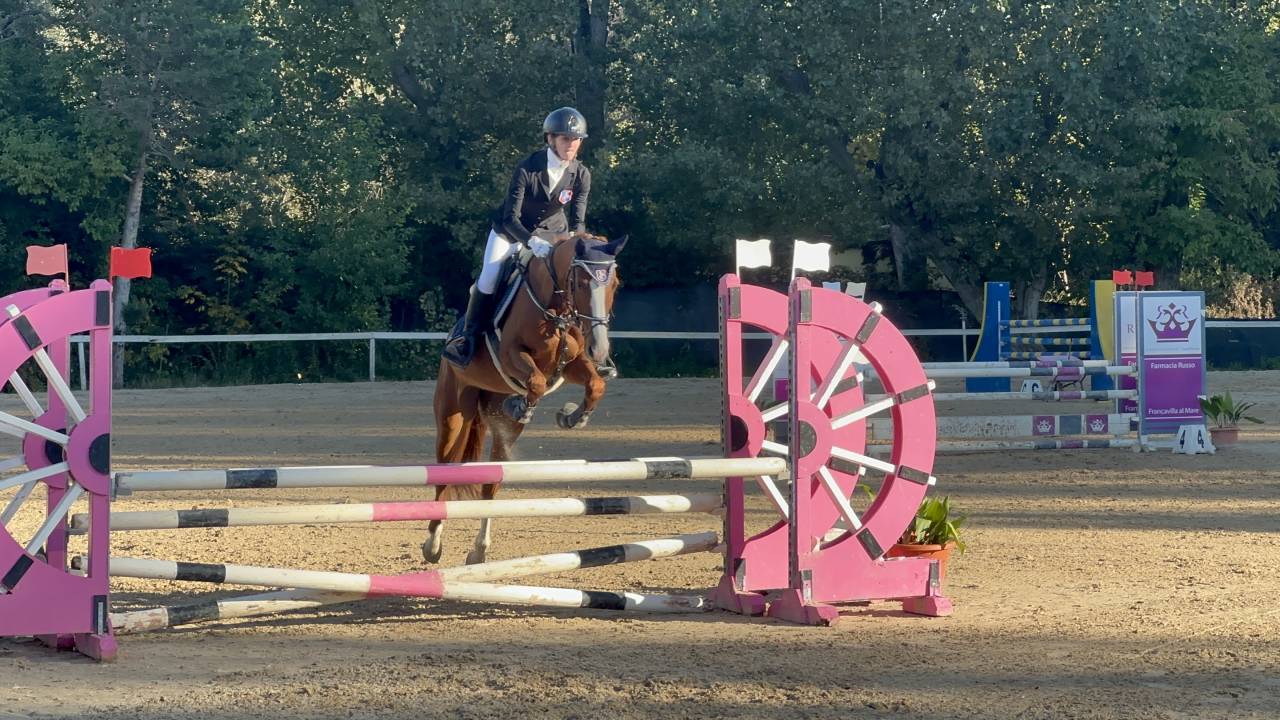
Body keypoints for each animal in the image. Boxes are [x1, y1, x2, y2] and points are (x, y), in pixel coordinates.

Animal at [425, 231, 627, 564]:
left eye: (615, 284)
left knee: (491, 484)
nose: (598, 349)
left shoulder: (571, 364)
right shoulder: (511, 354)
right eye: (581, 282)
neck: (555, 309)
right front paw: (522, 405)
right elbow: (535, 381)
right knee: (443, 474)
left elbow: (595, 384)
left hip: (503, 433)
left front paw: (572, 417)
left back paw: (479, 551)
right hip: (452, 413)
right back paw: (432, 545)